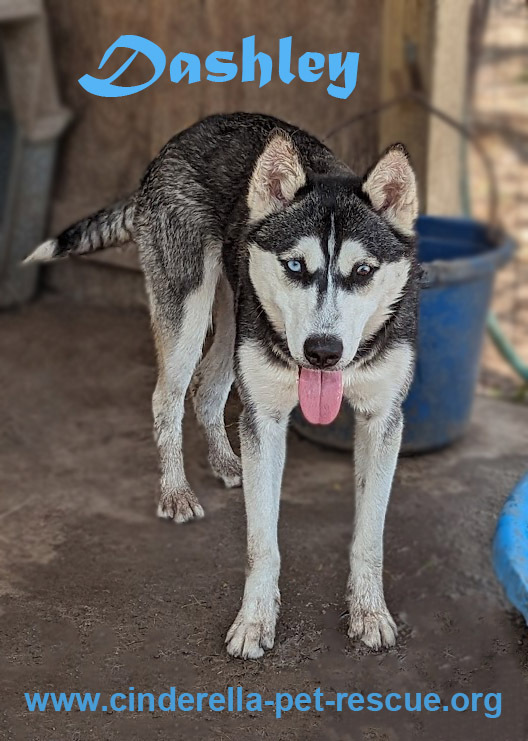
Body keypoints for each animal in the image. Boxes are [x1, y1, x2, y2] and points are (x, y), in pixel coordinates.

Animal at [26, 111, 418, 660]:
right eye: (295, 265)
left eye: (363, 271)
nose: (322, 351)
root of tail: (183, 136)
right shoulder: (266, 421)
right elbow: (262, 543)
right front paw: (254, 622)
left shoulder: (382, 421)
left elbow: (369, 536)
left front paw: (368, 613)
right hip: (186, 313)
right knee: (168, 398)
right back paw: (176, 492)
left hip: (236, 321)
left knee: (208, 389)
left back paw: (226, 462)